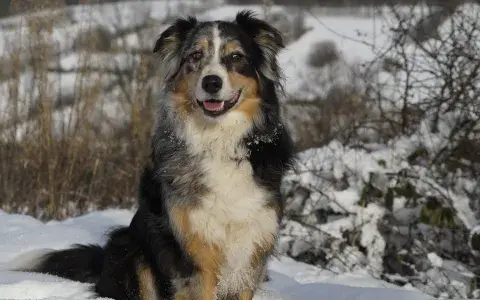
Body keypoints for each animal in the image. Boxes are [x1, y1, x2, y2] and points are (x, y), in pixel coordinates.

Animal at [10, 9, 296, 300]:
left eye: (236, 56)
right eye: (195, 56)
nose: (211, 82)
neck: (218, 140)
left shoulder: (250, 251)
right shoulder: (191, 252)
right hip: (132, 249)